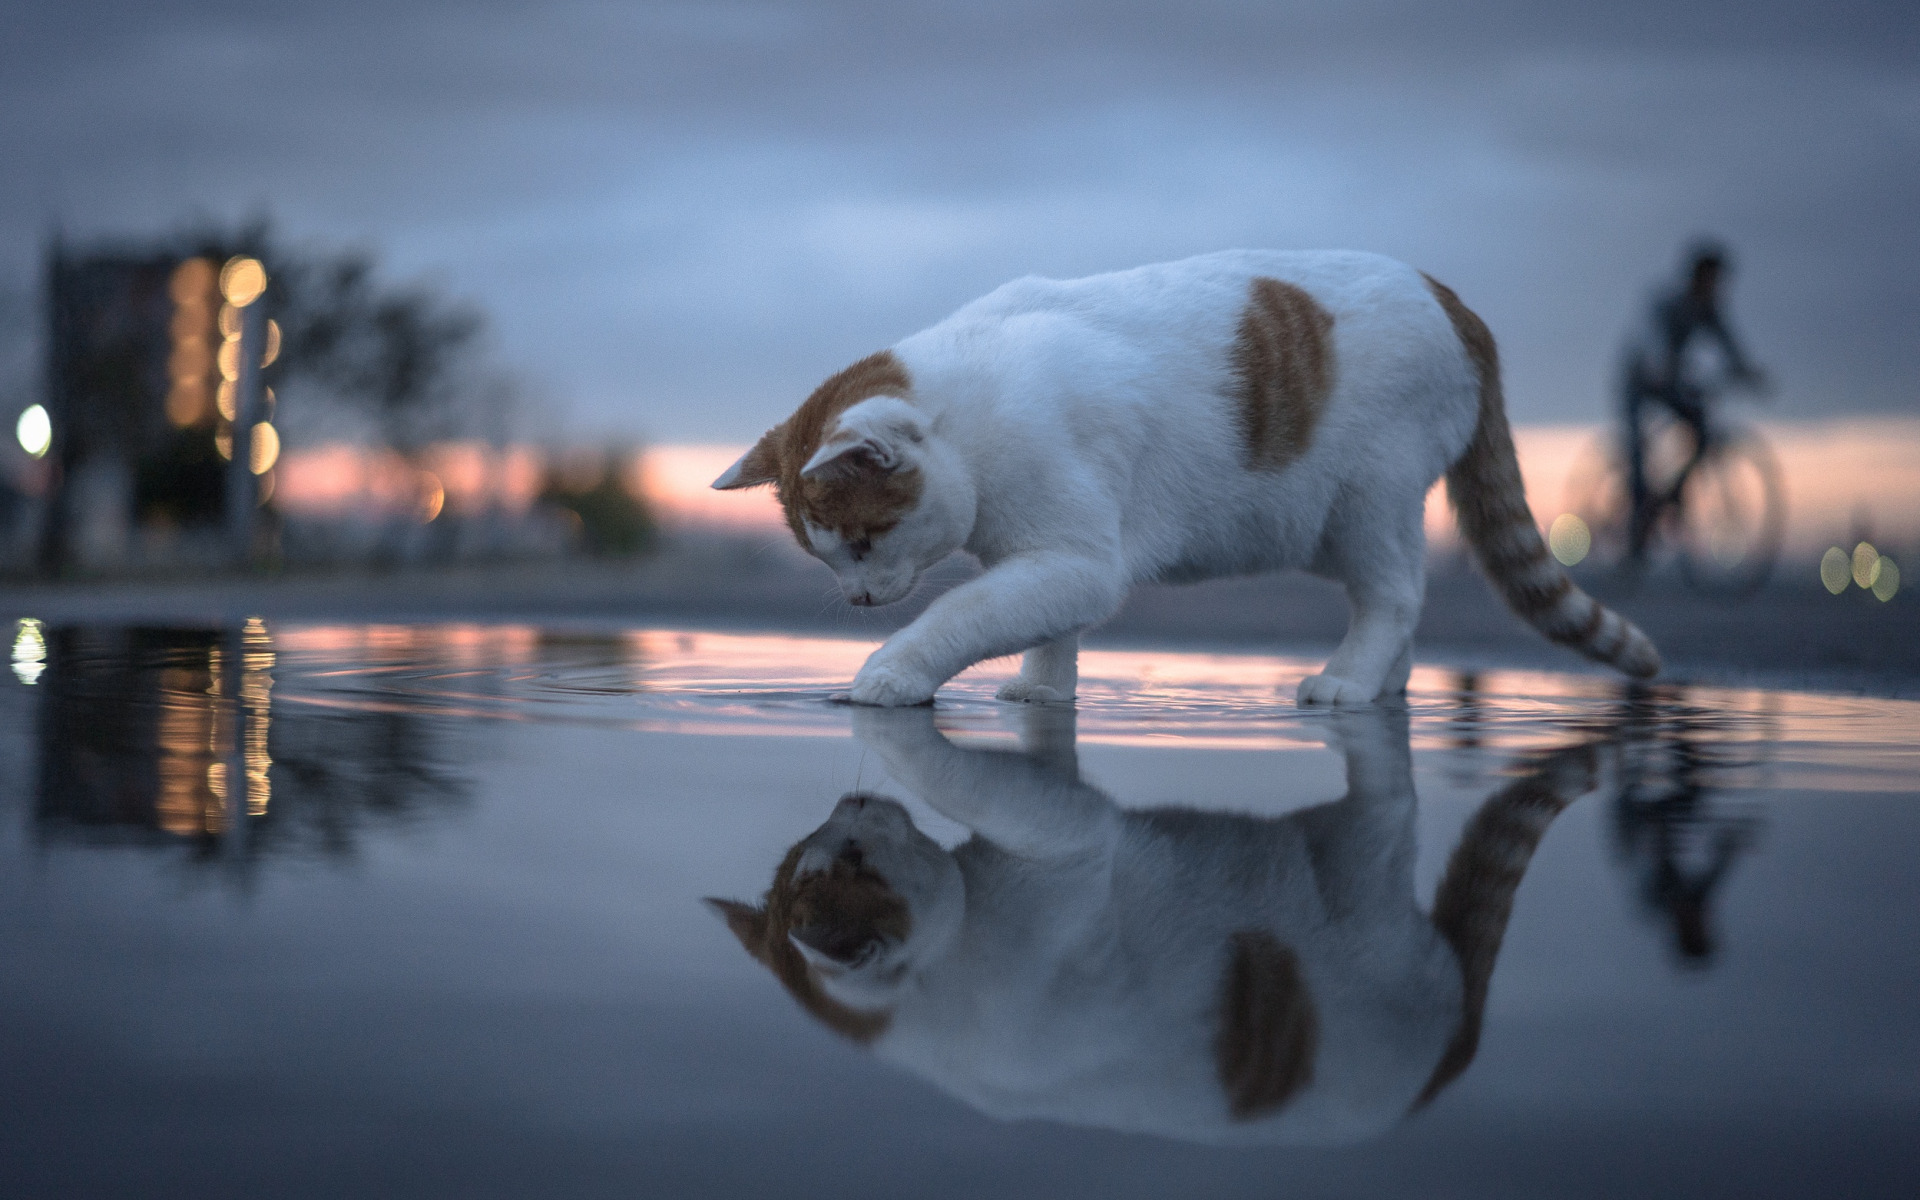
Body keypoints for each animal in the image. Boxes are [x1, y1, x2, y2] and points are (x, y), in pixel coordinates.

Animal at [714, 249, 1658, 702]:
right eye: (830, 556)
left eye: (866, 540)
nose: (860, 600)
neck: (975, 415)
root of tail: (1454, 302)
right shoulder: (1050, 556)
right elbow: (1040, 628)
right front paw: (1041, 693)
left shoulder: (1078, 558)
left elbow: (964, 616)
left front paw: (890, 674)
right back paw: (1386, 685)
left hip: (1367, 501)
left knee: (1394, 596)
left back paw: (1350, 683)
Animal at [714, 706, 1597, 1144]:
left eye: (847, 845)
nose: (853, 798)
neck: (947, 964)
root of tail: (1451, 1058)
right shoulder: (1066, 838)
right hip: (1360, 878)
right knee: (1386, 813)